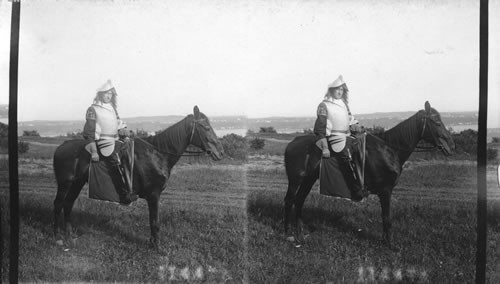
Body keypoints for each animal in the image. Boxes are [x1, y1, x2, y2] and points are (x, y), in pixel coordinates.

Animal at [52, 106, 223, 248]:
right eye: (206, 127)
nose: (219, 152)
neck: (157, 154)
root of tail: (61, 147)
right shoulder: (154, 195)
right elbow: (155, 222)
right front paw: (156, 246)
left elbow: (153, 221)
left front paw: (153, 243)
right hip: (65, 183)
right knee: (58, 204)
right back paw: (57, 236)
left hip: (77, 183)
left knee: (68, 203)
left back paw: (69, 234)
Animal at [286, 102, 454, 246]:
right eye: (437, 122)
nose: (451, 146)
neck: (389, 150)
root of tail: (292, 143)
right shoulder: (385, 191)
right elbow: (386, 217)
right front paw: (388, 243)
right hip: (295, 180)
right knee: (289, 200)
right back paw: (289, 233)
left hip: (308, 180)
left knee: (299, 201)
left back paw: (300, 233)